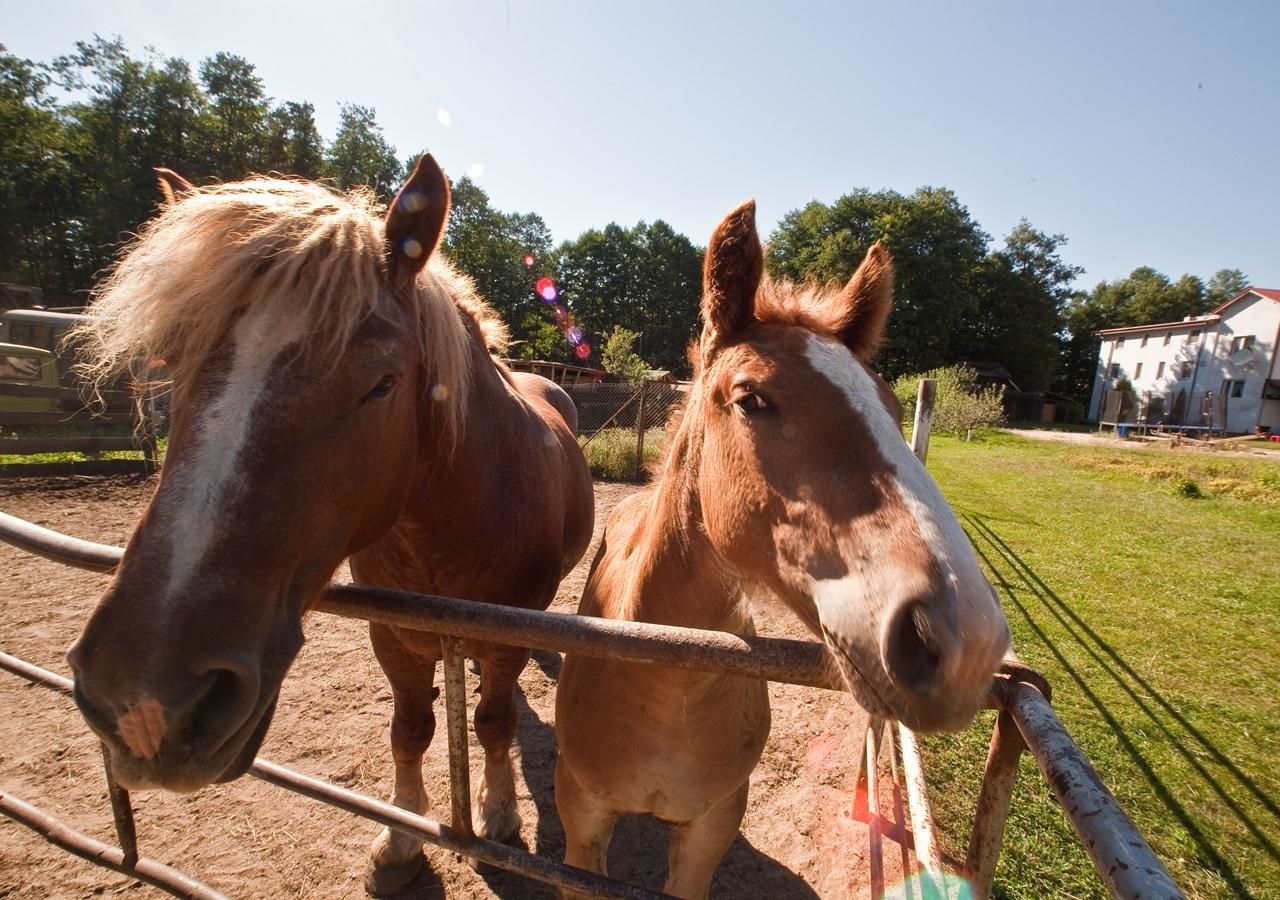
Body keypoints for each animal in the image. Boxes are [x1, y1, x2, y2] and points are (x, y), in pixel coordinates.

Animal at [64, 154, 593, 896]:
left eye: (382, 382)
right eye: (175, 366)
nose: (144, 699)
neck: (447, 531)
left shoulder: (503, 639)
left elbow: (492, 724)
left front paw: (497, 819)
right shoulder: (391, 638)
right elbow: (410, 731)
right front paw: (400, 845)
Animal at [555, 200, 1013, 896]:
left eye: (891, 407)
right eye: (752, 399)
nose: (966, 639)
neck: (666, 680)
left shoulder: (710, 828)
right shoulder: (581, 823)